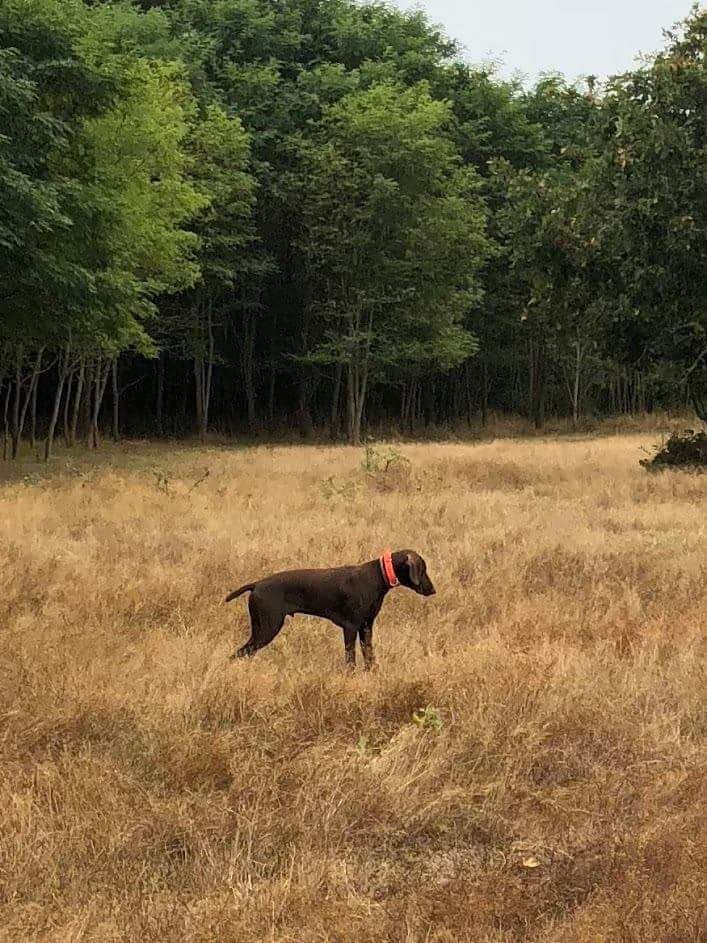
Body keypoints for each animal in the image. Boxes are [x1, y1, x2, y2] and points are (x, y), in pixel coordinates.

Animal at [227, 548, 436, 668]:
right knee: (239, 654)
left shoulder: (366, 628)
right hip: (267, 629)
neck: (377, 576)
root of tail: (256, 584)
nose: (433, 590)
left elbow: (369, 657)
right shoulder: (350, 627)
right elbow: (350, 660)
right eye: (423, 569)